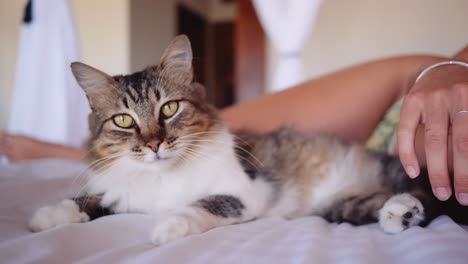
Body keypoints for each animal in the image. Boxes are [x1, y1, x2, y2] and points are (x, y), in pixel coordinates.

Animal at [29, 34, 468, 245]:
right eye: (123, 120)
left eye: (168, 109)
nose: (153, 145)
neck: (161, 178)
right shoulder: (119, 195)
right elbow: (83, 201)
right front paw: (44, 218)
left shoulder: (244, 192)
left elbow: (200, 205)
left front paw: (168, 227)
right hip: (341, 206)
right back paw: (399, 214)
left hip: (401, 174)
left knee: (430, 194)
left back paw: (405, 210)